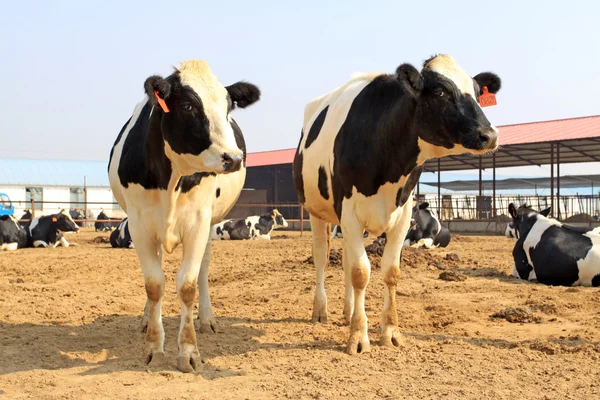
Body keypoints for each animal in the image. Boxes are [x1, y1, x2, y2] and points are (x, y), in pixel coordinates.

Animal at [109, 58, 258, 372]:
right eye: (188, 106)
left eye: (229, 107)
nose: (233, 158)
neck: (171, 178)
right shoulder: (139, 225)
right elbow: (154, 285)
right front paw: (153, 346)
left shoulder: (199, 223)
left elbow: (187, 284)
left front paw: (189, 351)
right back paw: (146, 319)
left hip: (211, 224)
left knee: (204, 267)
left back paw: (207, 318)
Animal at [294, 53, 502, 354]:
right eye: (440, 92)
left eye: (476, 93)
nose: (490, 134)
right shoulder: (349, 212)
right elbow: (361, 272)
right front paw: (359, 336)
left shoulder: (403, 214)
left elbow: (389, 271)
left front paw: (389, 332)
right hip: (316, 211)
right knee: (322, 257)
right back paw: (321, 310)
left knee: (344, 261)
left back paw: (348, 312)